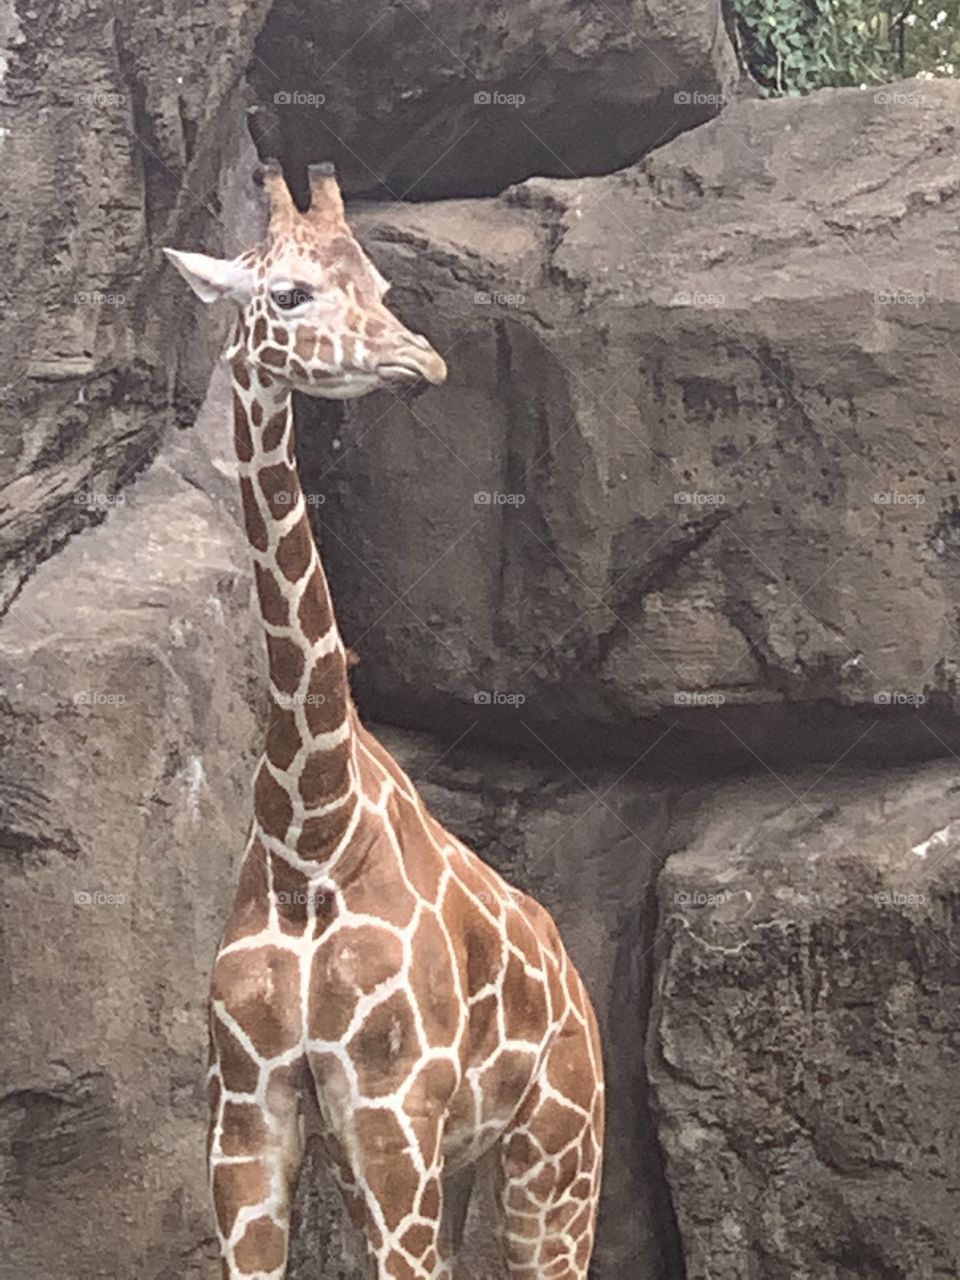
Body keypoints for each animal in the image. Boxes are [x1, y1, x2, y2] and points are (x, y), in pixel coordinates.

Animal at [164, 160, 604, 1280]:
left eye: (382, 286)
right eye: (288, 293)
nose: (422, 359)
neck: (308, 835)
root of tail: (577, 982)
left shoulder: (391, 1113)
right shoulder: (249, 1123)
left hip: (557, 1150)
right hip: (459, 1162)